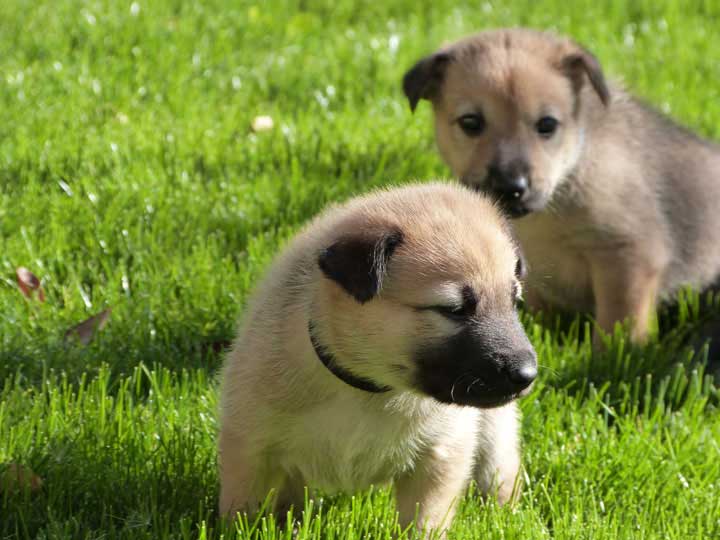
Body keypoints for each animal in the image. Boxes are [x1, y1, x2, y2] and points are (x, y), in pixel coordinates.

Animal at [218, 182, 536, 536]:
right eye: (454, 310)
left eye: (514, 301)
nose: (527, 374)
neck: (370, 389)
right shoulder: (249, 447)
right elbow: (241, 512)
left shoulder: (440, 457)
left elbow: (424, 523)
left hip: (495, 431)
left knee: (500, 470)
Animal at [402, 27, 720, 344]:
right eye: (470, 122)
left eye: (547, 124)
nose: (509, 187)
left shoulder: (629, 256)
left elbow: (617, 327)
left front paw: (612, 356)